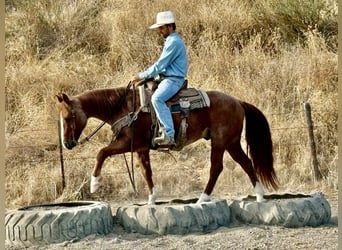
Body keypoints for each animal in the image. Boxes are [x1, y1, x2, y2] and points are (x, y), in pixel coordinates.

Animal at [56, 83, 278, 204]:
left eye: (67, 117)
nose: (67, 144)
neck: (125, 107)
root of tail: (238, 102)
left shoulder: (126, 142)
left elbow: (101, 152)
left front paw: (94, 184)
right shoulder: (140, 148)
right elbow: (146, 172)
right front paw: (152, 199)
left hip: (220, 141)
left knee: (216, 167)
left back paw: (203, 198)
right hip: (231, 143)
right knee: (246, 163)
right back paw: (259, 196)